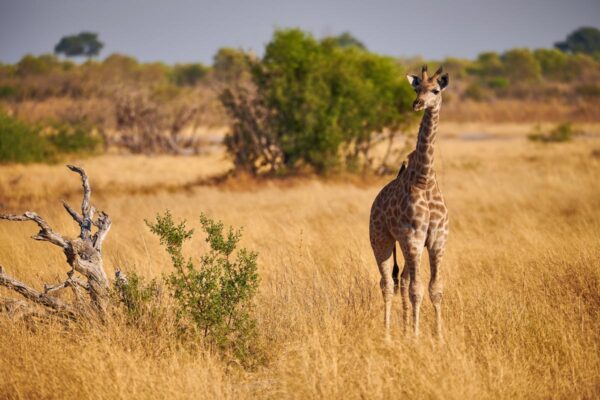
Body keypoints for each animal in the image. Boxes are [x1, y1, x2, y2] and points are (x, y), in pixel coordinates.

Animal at [370, 65, 450, 338]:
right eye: (416, 89)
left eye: (435, 90)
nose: (417, 104)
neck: (423, 180)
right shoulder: (413, 237)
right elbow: (418, 290)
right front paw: (416, 337)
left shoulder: (437, 239)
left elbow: (435, 289)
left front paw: (438, 336)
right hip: (381, 239)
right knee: (387, 283)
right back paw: (387, 334)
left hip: (403, 246)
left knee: (402, 280)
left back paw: (403, 328)